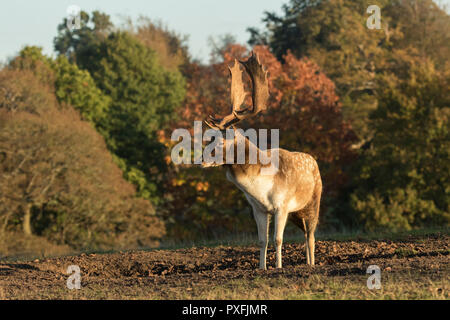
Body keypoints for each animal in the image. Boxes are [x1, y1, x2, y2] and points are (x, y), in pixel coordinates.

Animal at [202, 52, 322, 270]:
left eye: (221, 140)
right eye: (209, 137)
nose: (201, 160)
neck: (261, 187)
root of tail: (313, 161)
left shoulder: (282, 205)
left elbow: (278, 239)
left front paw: (278, 267)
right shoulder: (257, 208)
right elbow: (262, 240)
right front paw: (262, 268)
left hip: (313, 202)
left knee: (311, 236)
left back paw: (312, 265)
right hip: (297, 213)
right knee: (305, 235)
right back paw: (308, 263)